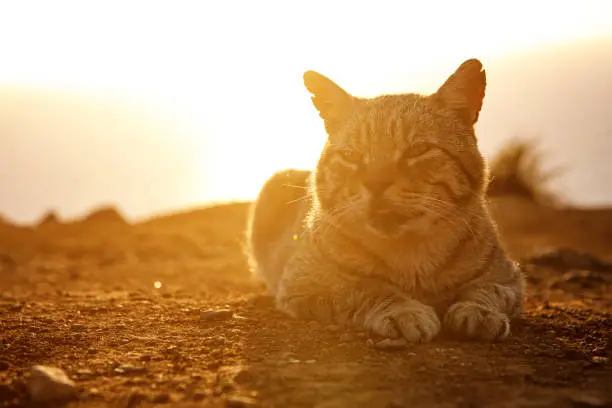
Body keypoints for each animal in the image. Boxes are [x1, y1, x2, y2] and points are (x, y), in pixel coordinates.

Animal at [246, 59, 524, 342]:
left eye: (418, 150)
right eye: (351, 155)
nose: (376, 183)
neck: (410, 255)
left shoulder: (509, 278)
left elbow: (487, 289)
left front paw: (478, 310)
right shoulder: (304, 282)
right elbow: (365, 288)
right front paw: (403, 311)